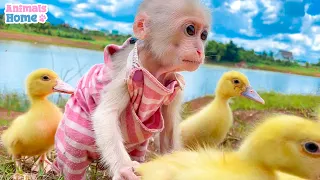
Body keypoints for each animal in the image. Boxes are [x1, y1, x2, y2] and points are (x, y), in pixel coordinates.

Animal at [52, 0, 212, 179]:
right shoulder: (126, 72)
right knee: (75, 155)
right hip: (72, 134)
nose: (200, 50)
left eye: (203, 35)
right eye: (190, 30)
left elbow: (169, 130)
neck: (155, 69)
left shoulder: (176, 84)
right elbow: (105, 115)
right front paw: (124, 169)